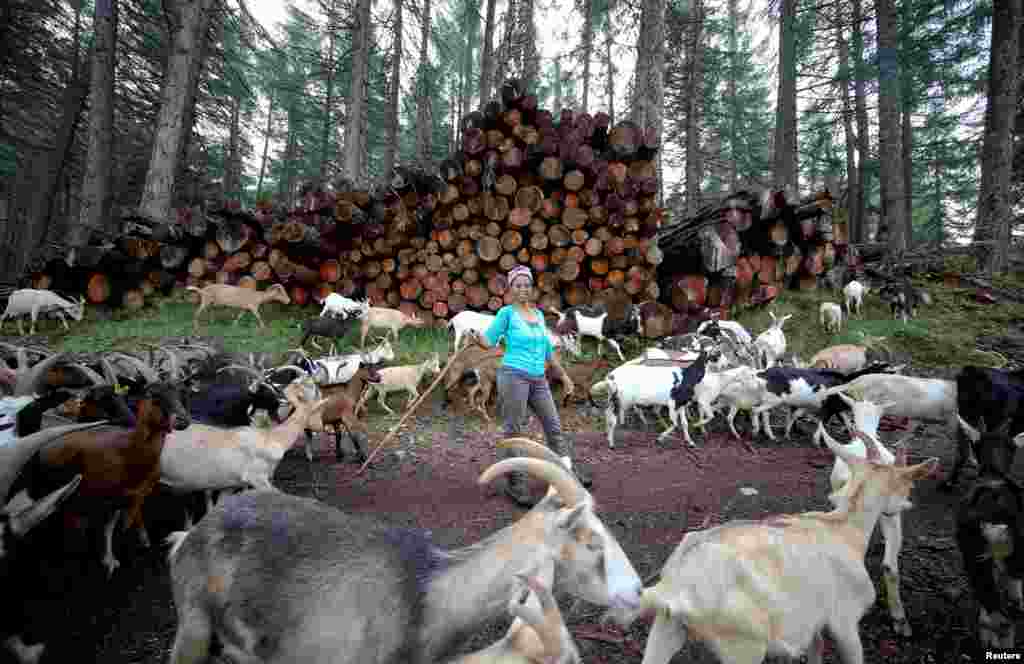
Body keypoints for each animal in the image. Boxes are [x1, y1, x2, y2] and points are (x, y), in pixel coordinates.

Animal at [8, 383, 190, 573]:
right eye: (153, 395)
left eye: (181, 395)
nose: (183, 420)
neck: (129, 452)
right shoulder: (102, 498)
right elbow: (107, 528)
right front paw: (107, 561)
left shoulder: (134, 498)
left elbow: (122, 525)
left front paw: (122, 553)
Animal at [610, 430, 937, 664]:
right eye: (904, 483)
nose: (906, 505)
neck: (844, 530)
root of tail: (677, 585)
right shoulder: (844, 622)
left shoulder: (815, 625)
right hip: (743, 646)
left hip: (666, 628)